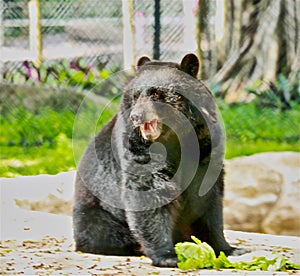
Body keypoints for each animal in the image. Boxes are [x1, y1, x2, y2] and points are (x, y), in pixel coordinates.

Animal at [73, 54, 237, 268]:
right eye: (135, 95)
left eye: (156, 93)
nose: (136, 116)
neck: (175, 137)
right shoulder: (138, 150)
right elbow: (149, 192)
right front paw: (168, 256)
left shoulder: (205, 145)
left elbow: (208, 194)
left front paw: (225, 247)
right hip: (99, 213)